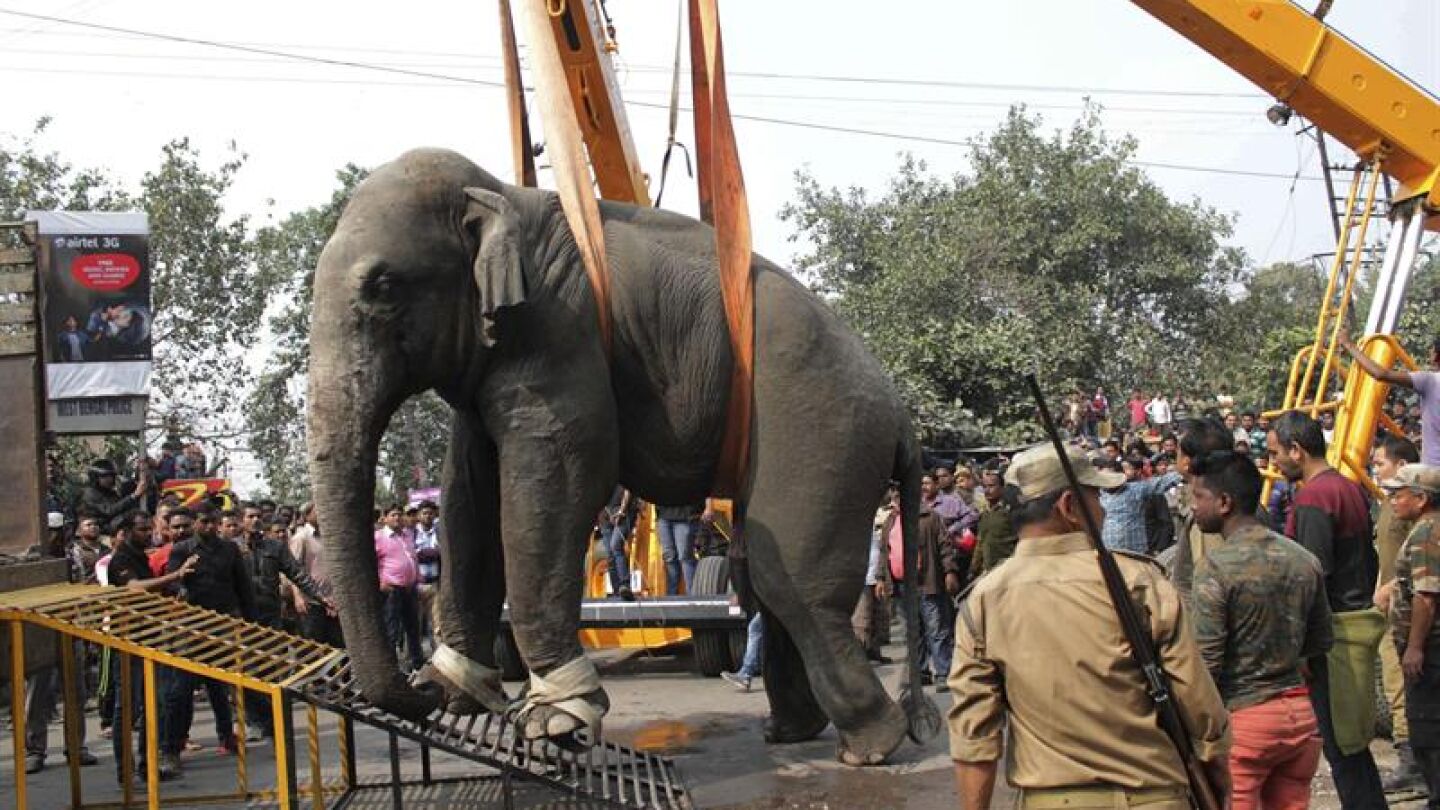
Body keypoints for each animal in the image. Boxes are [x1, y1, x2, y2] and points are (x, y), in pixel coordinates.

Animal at [307, 147, 941, 765]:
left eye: (382, 286)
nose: (415, 689)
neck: (501, 193)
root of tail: (902, 420)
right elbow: (468, 496)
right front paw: (458, 691)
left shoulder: (557, 329)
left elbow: (561, 475)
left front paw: (558, 722)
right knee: (761, 580)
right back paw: (790, 733)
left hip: (822, 427)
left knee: (786, 578)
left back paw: (869, 748)